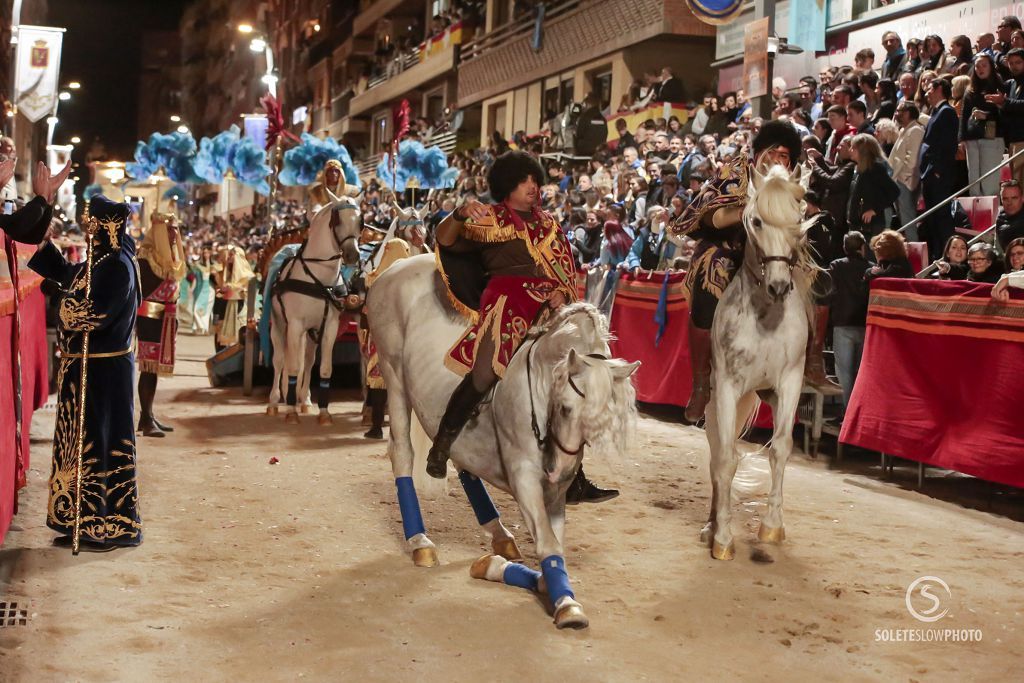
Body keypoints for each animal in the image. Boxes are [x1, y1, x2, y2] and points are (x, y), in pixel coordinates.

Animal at [266, 191, 362, 421]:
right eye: (337, 221)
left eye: (360, 222)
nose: (353, 255)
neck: (319, 280)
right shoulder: (295, 325)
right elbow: (292, 365)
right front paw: (291, 412)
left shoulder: (329, 327)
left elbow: (324, 368)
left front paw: (324, 413)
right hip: (279, 326)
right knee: (279, 360)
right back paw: (274, 402)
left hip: (310, 333)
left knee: (308, 361)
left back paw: (305, 400)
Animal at [366, 258, 638, 630]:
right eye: (566, 408)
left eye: (596, 422)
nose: (558, 471)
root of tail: (397, 266)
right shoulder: (525, 479)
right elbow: (550, 546)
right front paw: (567, 605)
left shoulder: (554, 493)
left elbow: (553, 546)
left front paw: (533, 579)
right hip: (393, 373)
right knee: (403, 453)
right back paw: (420, 542)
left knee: (459, 458)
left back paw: (499, 536)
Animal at [700, 163, 811, 561]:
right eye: (757, 221)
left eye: (799, 218)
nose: (779, 286)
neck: (766, 317)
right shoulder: (728, 387)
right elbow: (726, 458)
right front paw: (723, 538)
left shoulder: (788, 383)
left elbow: (780, 448)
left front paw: (772, 527)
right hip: (714, 401)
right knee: (718, 452)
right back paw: (711, 524)